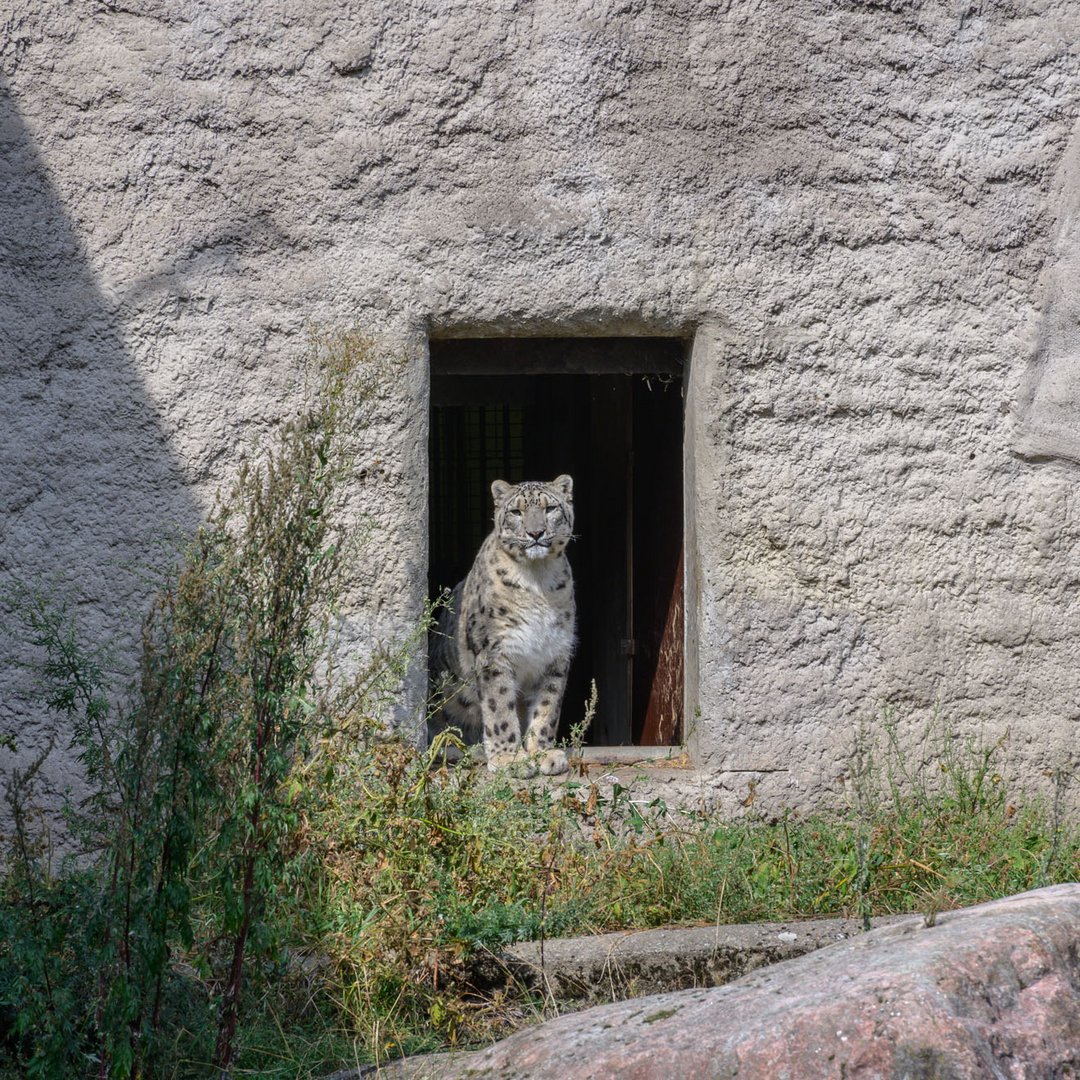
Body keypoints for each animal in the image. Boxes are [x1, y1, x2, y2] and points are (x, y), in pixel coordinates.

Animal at [429, 475, 578, 777]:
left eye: (550, 508)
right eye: (516, 512)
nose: (536, 533)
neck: (538, 578)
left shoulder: (556, 652)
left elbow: (548, 705)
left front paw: (543, 754)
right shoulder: (493, 651)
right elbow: (500, 707)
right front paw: (510, 759)